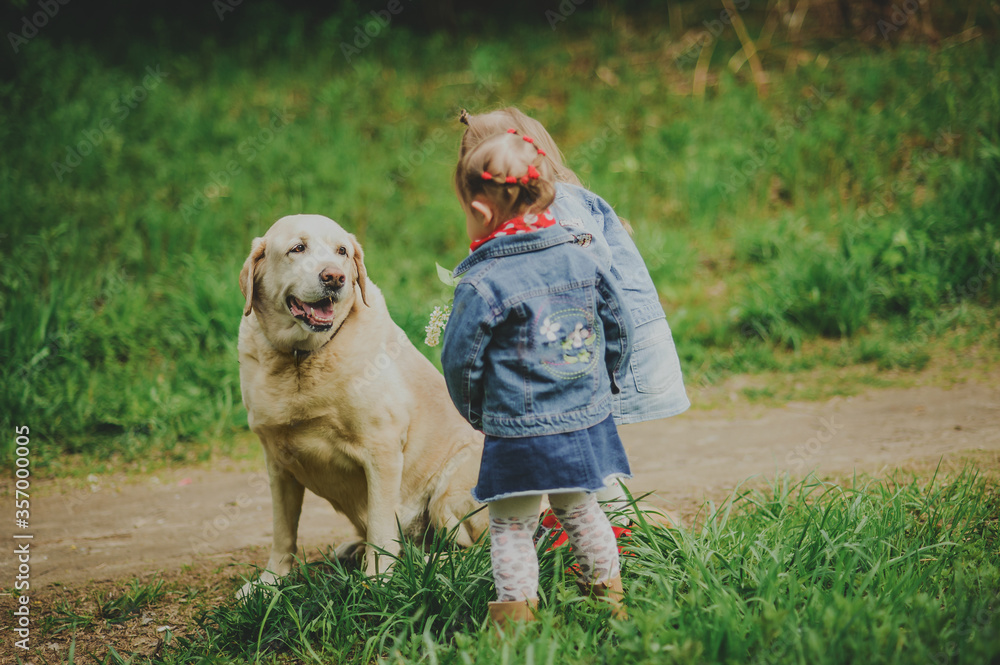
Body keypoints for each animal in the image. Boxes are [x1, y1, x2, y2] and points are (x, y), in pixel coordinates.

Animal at [234, 214, 484, 596]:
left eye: (342, 251)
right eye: (297, 248)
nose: (334, 276)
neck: (300, 359)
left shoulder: (381, 450)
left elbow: (381, 525)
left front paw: (378, 579)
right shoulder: (277, 463)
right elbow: (282, 531)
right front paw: (270, 583)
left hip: (450, 492)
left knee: (476, 553)